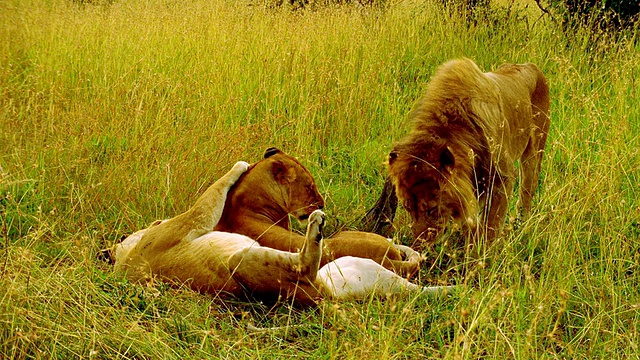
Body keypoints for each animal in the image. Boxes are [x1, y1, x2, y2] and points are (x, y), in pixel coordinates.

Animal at [368, 59, 552, 243]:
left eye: (432, 209)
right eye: (407, 207)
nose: (421, 242)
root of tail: (531, 66)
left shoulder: (503, 178)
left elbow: (490, 227)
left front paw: (483, 250)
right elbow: (470, 224)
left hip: (535, 151)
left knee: (526, 193)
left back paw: (522, 228)